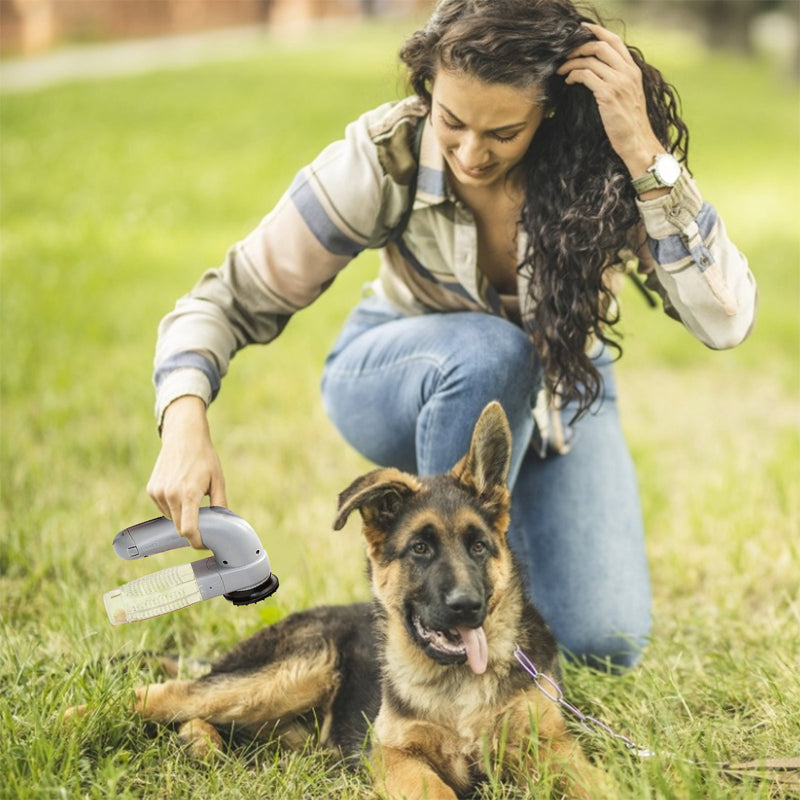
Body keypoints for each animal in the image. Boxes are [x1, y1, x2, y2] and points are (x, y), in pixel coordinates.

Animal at [76, 404, 612, 800]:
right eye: (420, 549)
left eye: (479, 547)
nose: (467, 607)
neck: (458, 684)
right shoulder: (394, 754)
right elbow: (435, 788)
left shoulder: (553, 745)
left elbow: (597, 785)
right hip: (297, 670)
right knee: (160, 696)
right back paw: (72, 726)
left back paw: (203, 745)